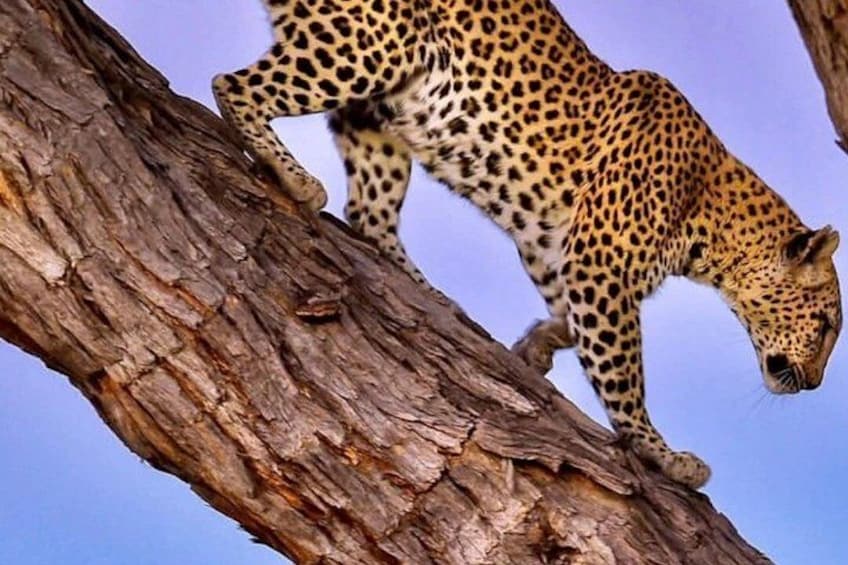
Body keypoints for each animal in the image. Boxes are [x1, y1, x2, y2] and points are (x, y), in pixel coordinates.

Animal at [212, 0, 842, 489]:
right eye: (828, 325)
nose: (814, 385)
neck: (714, 220)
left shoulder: (555, 245)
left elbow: (568, 316)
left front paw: (539, 345)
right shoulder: (601, 264)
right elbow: (623, 371)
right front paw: (661, 454)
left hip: (383, 109)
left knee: (369, 214)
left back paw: (430, 294)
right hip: (370, 47)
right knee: (233, 85)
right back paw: (292, 175)